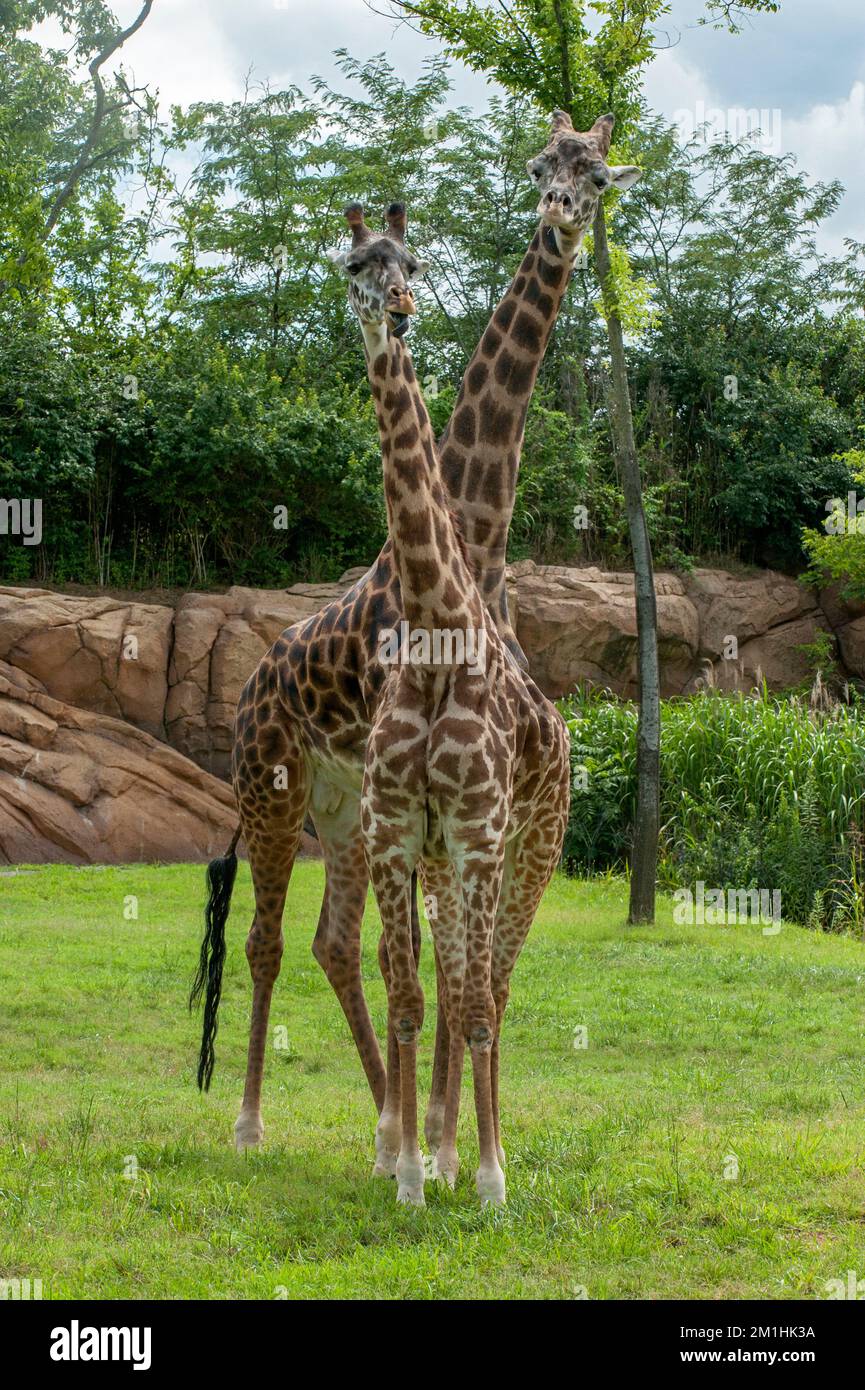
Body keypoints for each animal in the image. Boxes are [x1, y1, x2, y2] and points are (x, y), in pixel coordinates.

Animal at [193, 113, 645, 1162]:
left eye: (597, 175)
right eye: (539, 164)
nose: (560, 212)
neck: (476, 534)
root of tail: (249, 683)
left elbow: (447, 964)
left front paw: (436, 1137)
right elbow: (439, 962)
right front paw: (436, 1141)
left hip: (338, 806)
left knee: (336, 941)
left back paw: (381, 1120)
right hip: (276, 790)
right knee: (273, 940)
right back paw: (254, 1123)